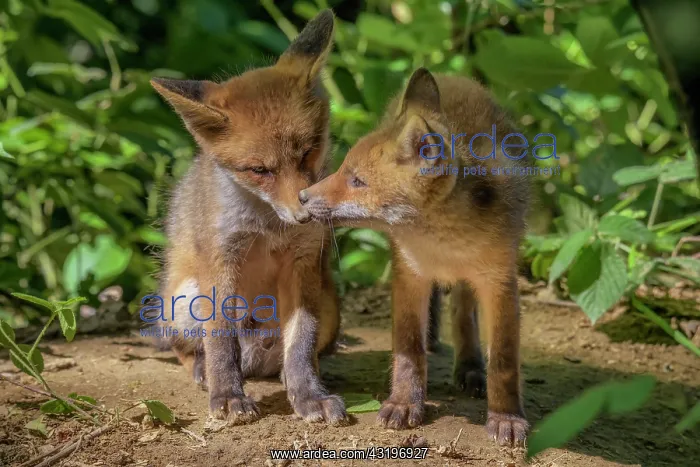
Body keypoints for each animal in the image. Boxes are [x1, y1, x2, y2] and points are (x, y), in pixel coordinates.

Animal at [147, 10, 347, 426]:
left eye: (309, 151)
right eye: (259, 170)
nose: (306, 214)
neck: (267, 225)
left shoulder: (302, 264)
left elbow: (301, 343)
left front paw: (308, 394)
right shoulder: (222, 259)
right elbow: (222, 340)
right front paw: (227, 394)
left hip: (330, 304)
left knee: (296, 355)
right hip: (183, 298)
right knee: (186, 348)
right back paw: (203, 370)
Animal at [299, 68, 531, 445]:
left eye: (358, 181)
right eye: (344, 169)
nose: (302, 196)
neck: (443, 246)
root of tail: (451, 76)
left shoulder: (500, 284)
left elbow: (504, 362)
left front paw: (506, 418)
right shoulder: (410, 274)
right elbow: (409, 349)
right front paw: (406, 403)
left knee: (463, 315)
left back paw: (470, 367)